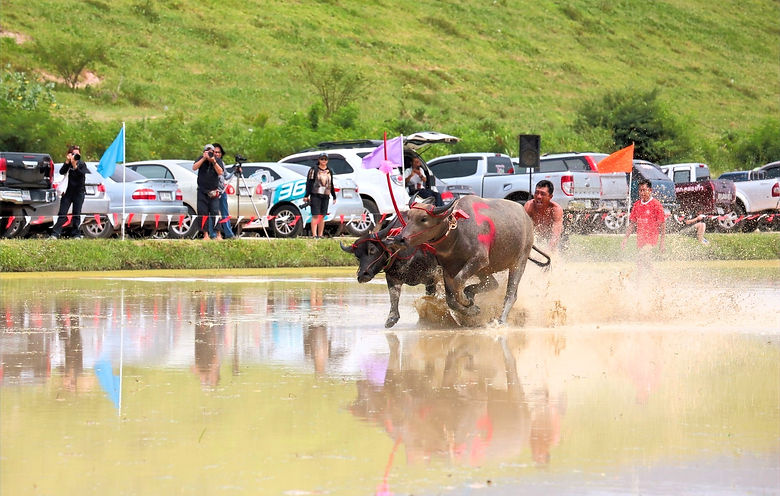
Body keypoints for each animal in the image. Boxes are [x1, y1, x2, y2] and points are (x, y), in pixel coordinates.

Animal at [391, 196, 545, 324]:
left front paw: (465, 300)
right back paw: (471, 293)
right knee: (493, 284)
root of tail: (527, 219)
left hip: (518, 262)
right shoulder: (448, 268)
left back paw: (501, 320)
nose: (399, 238)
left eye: (423, 219)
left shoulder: (479, 259)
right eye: (409, 216)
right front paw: (471, 309)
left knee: (511, 294)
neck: (456, 233)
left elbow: (459, 281)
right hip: (484, 270)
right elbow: (450, 300)